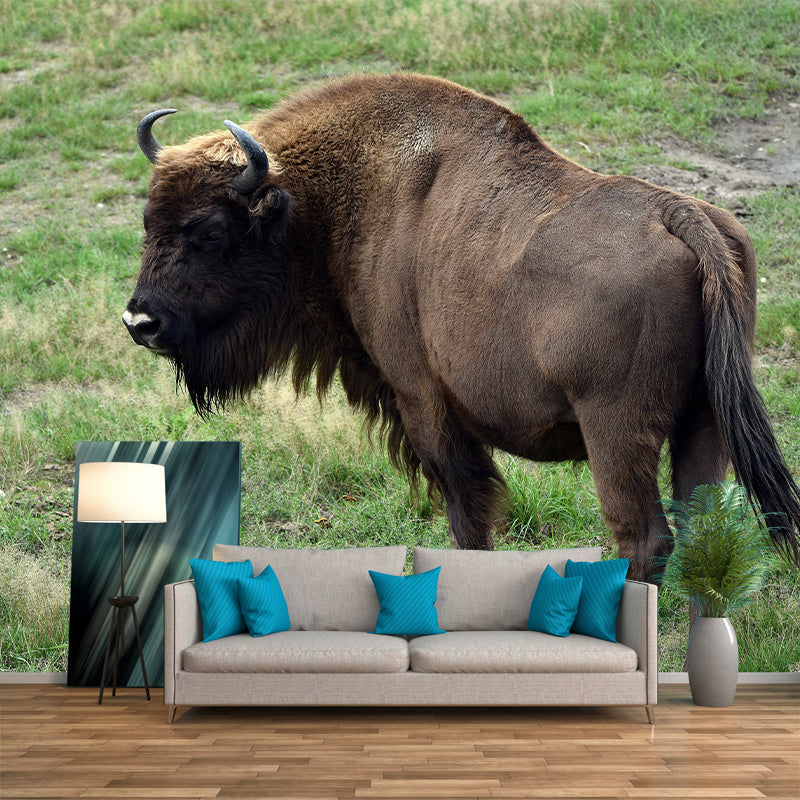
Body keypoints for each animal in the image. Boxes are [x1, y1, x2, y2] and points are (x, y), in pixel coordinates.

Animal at [124, 73, 800, 581]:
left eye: (210, 231)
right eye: (148, 221)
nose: (140, 321)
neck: (333, 199)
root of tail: (681, 215)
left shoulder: (420, 397)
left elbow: (465, 511)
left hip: (617, 431)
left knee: (644, 537)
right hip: (705, 420)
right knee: (701, 529)